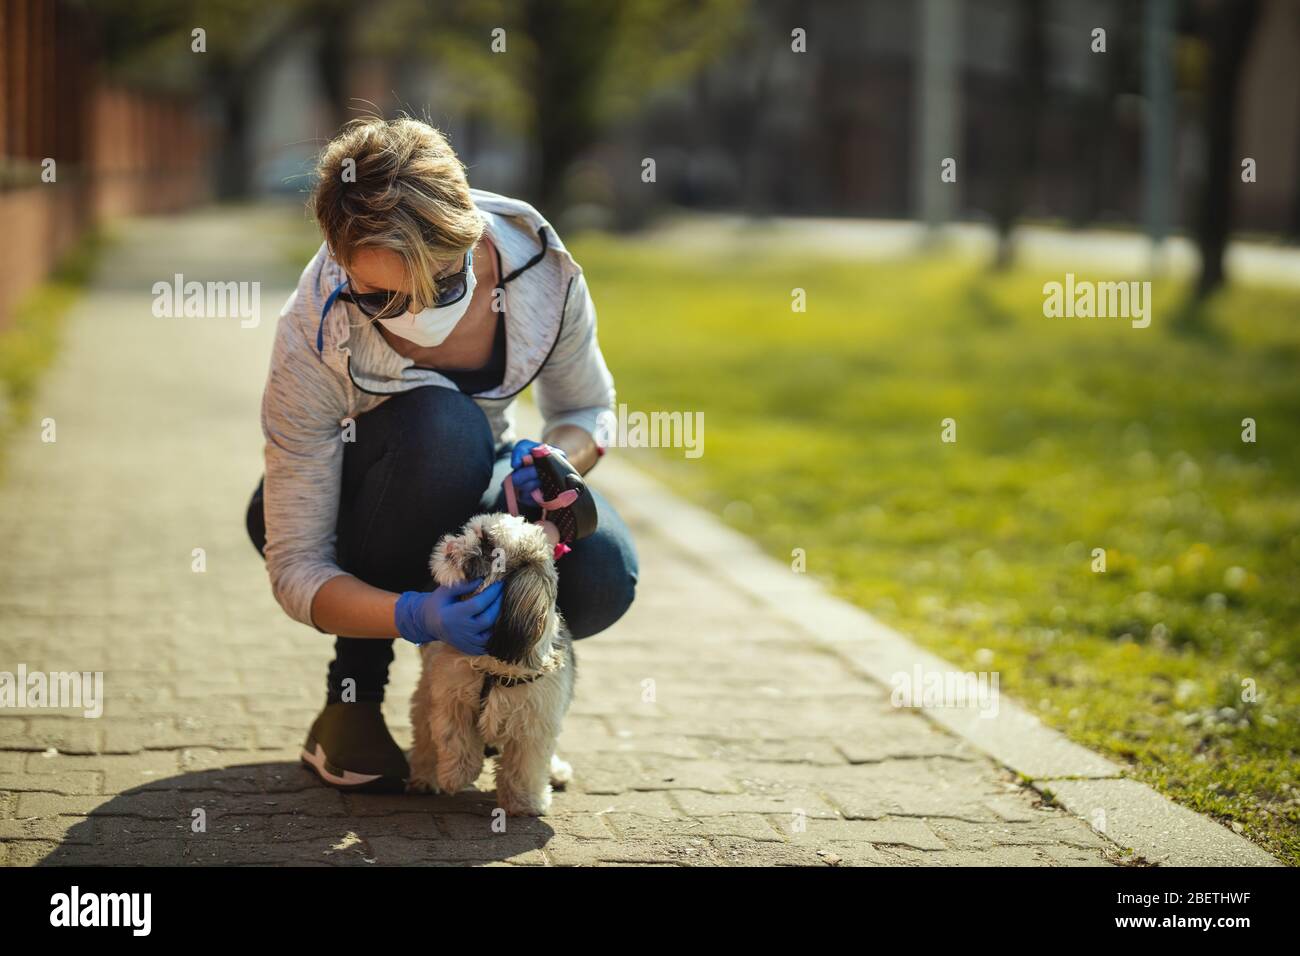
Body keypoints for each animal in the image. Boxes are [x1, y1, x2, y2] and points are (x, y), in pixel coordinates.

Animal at [410, 515, 574, 816]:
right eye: (471, 530)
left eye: (487, 544)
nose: (453, 541)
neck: (494, 669)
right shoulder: (450, 697)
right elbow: (455, 738)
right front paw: (457, 775)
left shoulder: (534, 722)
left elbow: (525, 766)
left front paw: (525, 802)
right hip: (426, 695)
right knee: (425, 737)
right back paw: (426, 777)